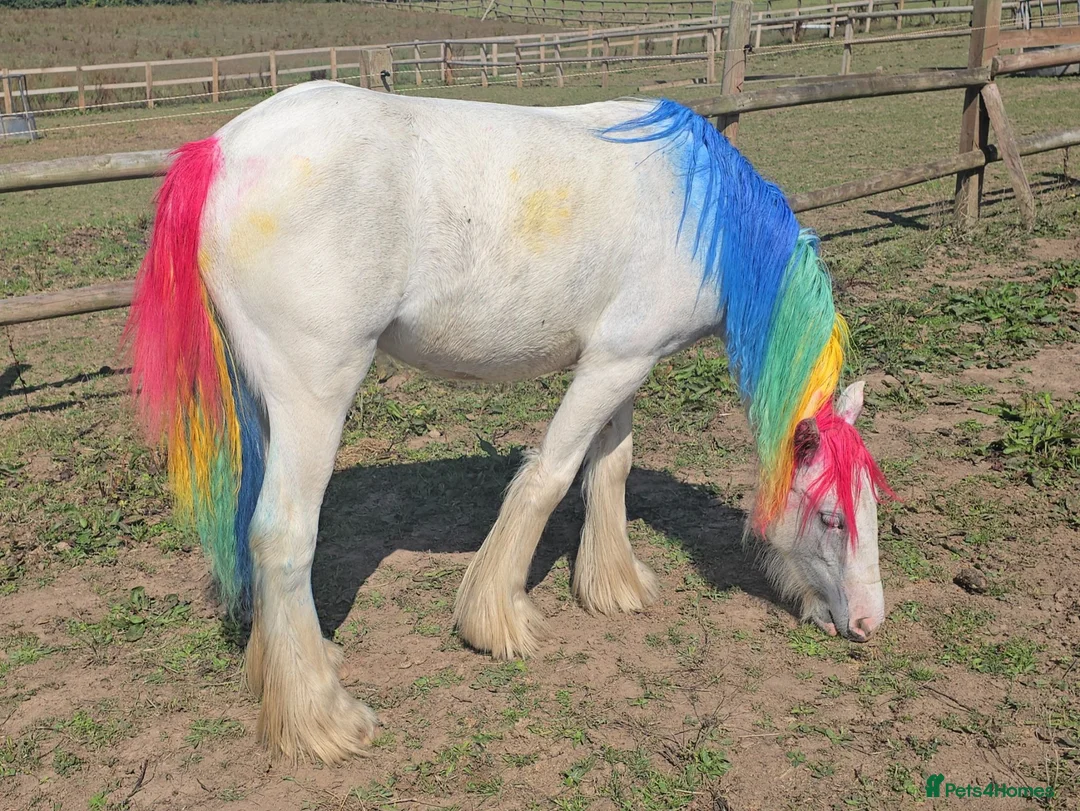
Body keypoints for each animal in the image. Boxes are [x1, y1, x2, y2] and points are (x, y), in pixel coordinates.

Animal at [125, 82, 892, 763]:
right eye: (831, 516)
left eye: (871, 508)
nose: (867, 622)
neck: (705, 214)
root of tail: (222, 150)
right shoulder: (611, 365)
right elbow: (549, 475)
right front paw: (497, 619)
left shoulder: (624, 362)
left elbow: (609, 468)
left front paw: (614, 587)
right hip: (314, 396)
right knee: (282, 536)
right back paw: (322, 717)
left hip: (266, 401)